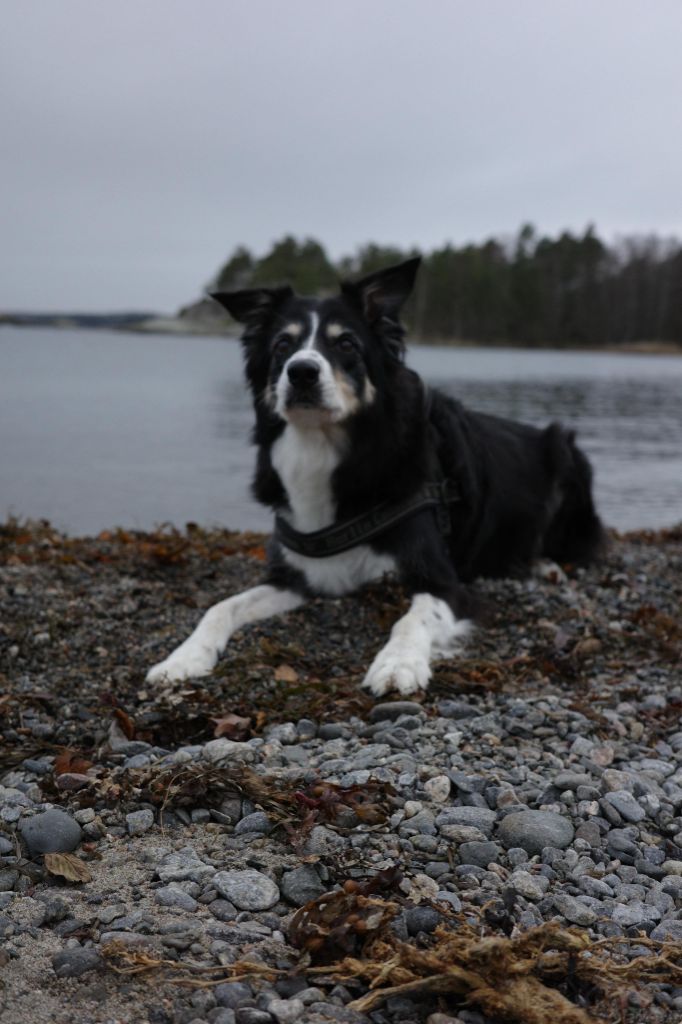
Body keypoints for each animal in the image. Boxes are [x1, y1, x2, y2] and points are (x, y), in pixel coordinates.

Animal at [146, 256, 602, 696]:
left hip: (569, 459)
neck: (322, 447)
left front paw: (398, 665)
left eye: (346, 343)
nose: (301, 371)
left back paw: (545, 566)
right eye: (282, 345)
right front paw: (182, 659)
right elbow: (221, 606)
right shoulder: (292, 578)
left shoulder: (445, 582)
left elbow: (413, 617)